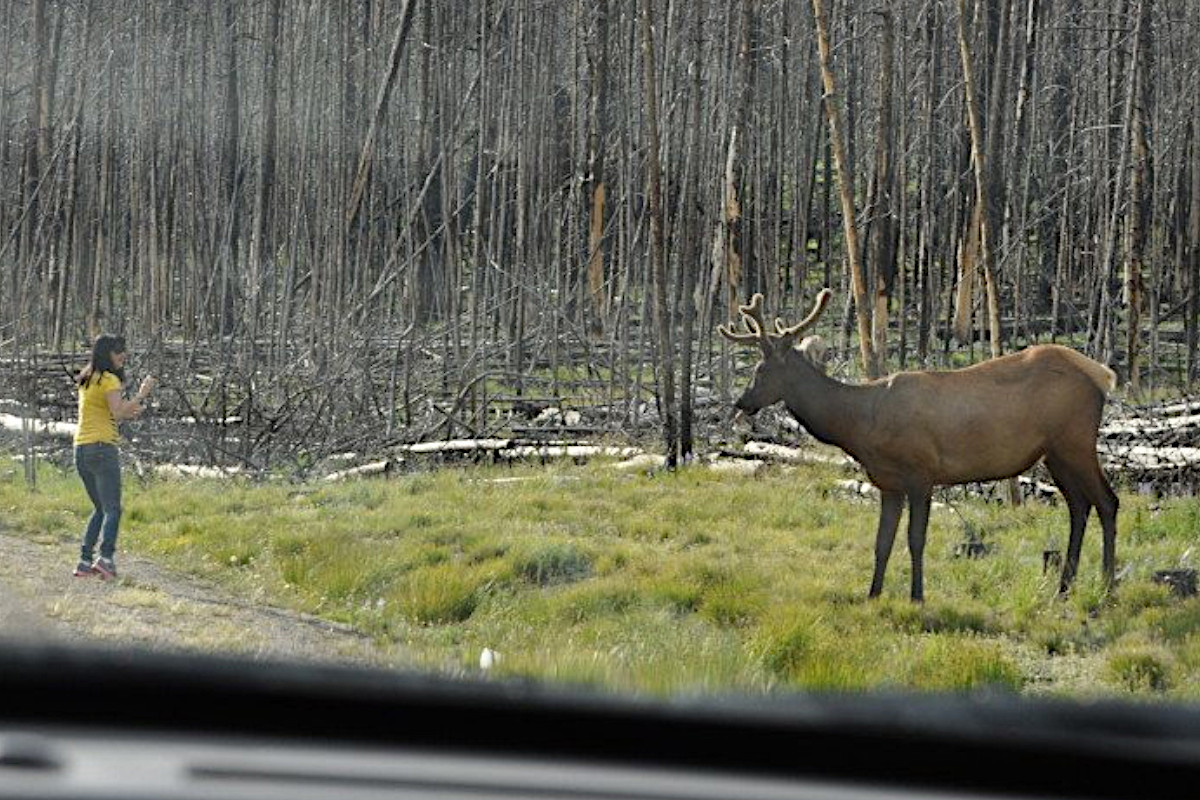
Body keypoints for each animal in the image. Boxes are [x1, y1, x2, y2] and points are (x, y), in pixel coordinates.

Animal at [715, 289, 1118, 599]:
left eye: (762, 370)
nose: (742, 402)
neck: (861, 423)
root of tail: (1104, 375)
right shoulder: (888, 483)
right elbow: (882, 542)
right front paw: (873, 594)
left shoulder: (921, 474)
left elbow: (915, 539)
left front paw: (917, 596)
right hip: (1054, 453)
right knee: (1079, 506)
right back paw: (1065, 587)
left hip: (1075, 440)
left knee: (1107, 501)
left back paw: (1107, 586)